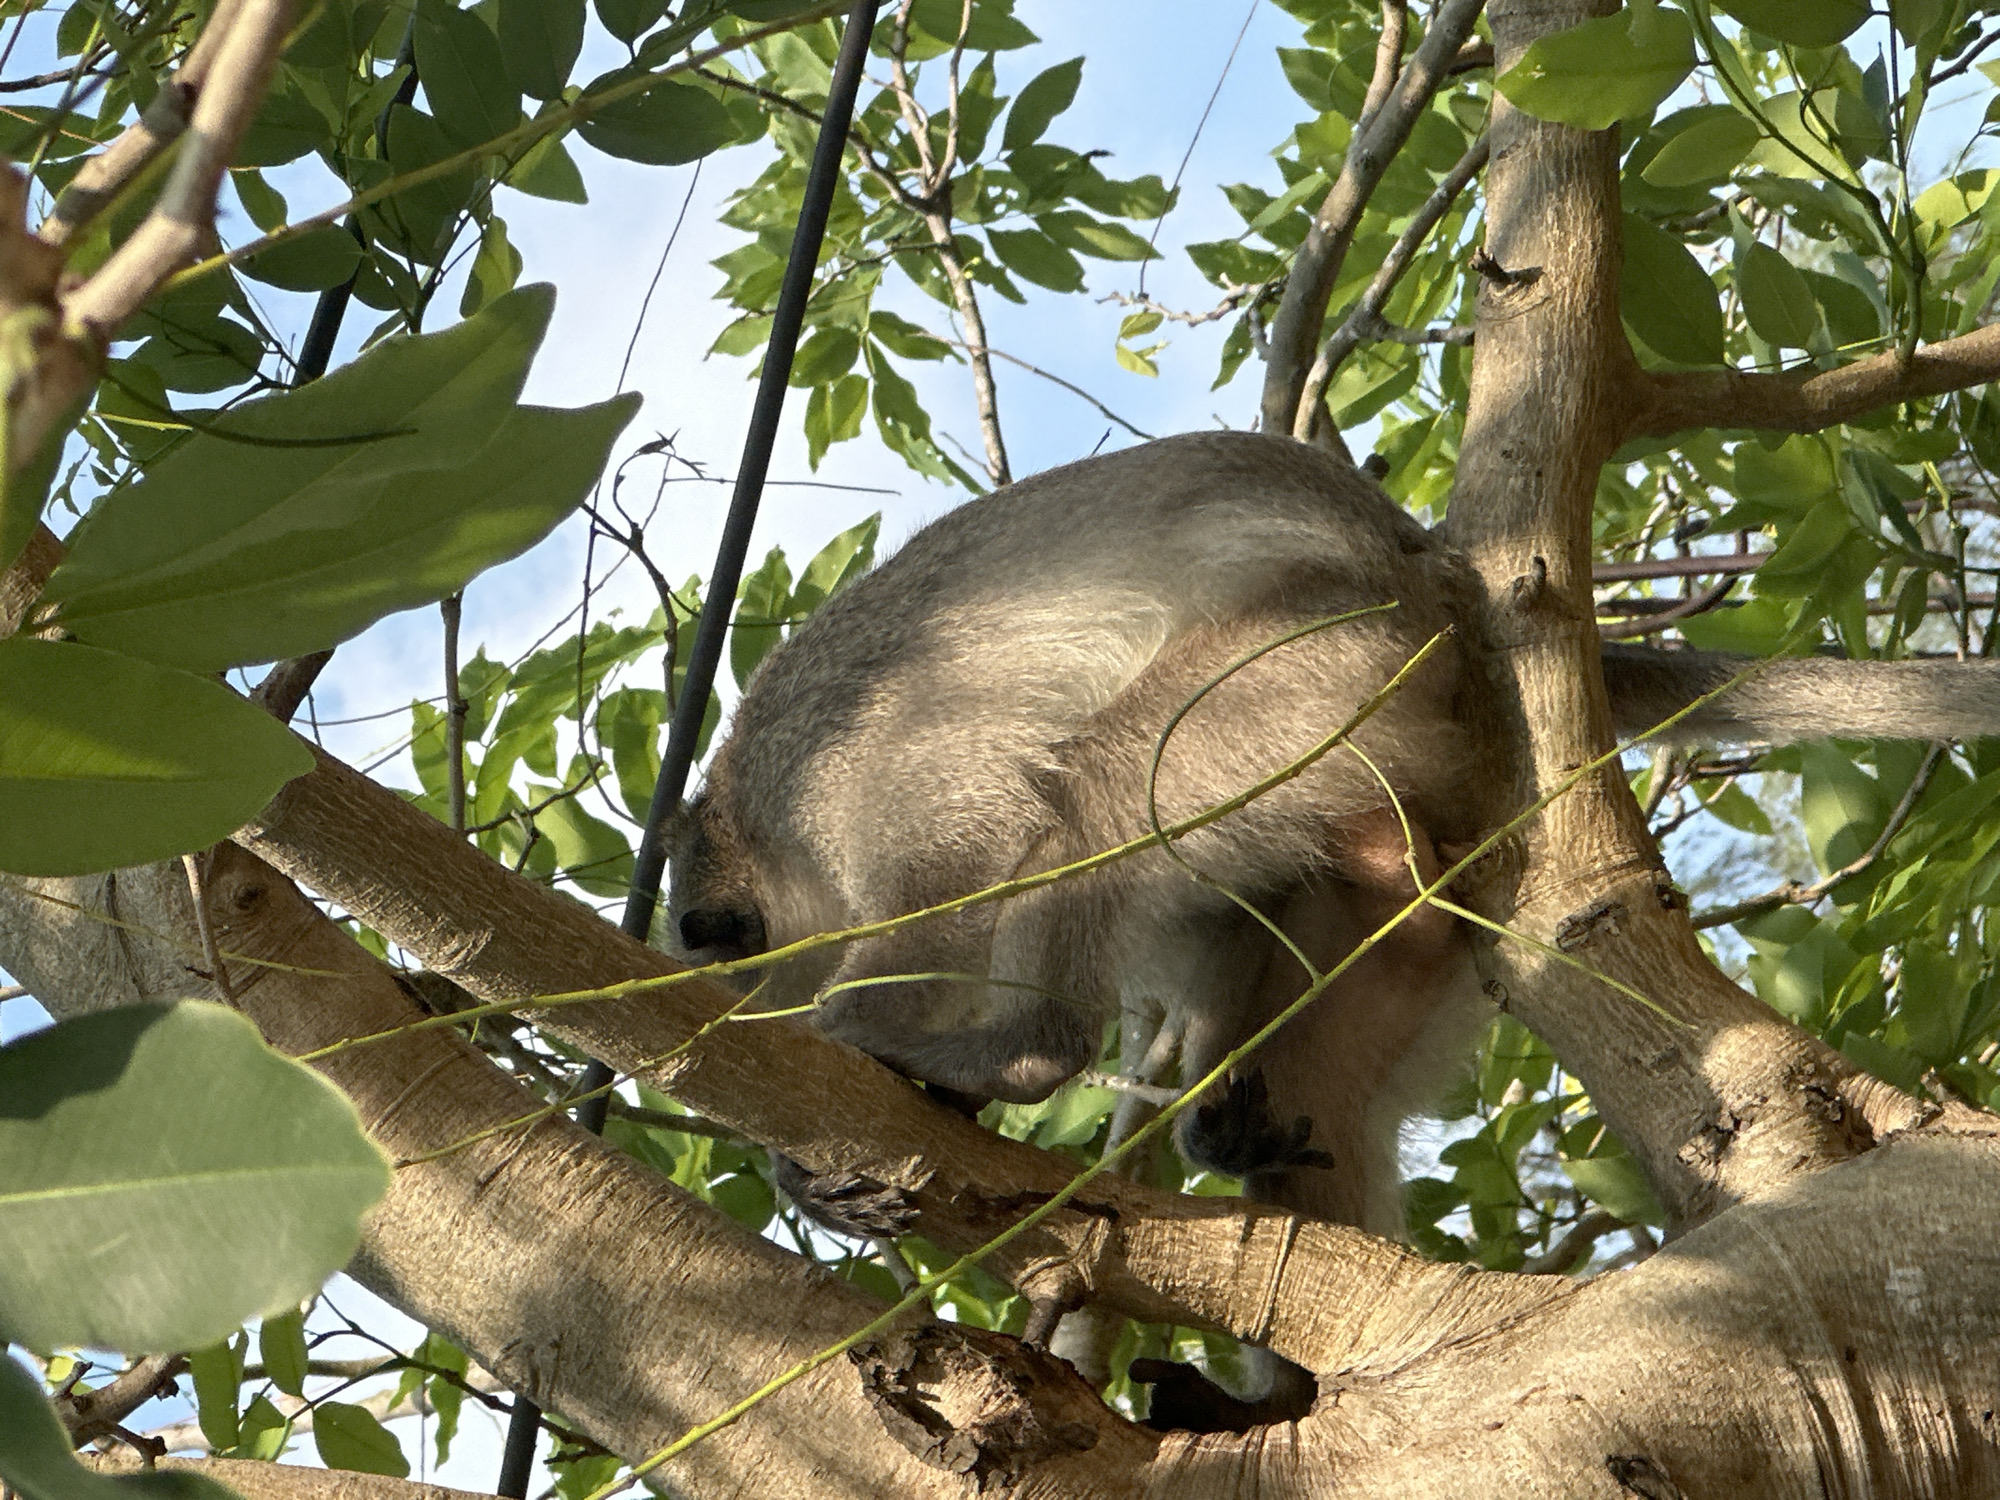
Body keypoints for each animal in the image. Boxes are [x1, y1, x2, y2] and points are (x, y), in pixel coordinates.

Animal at [665, 430, 2000, 1403]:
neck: (763, 828)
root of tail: (1434, 578)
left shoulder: (856, 786)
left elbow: (966, 857)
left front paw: (865, 1076)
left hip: (1323, 665)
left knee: (1102, 789)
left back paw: (1021, 1051)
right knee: (1316, 1072)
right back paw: (1279, 1389)